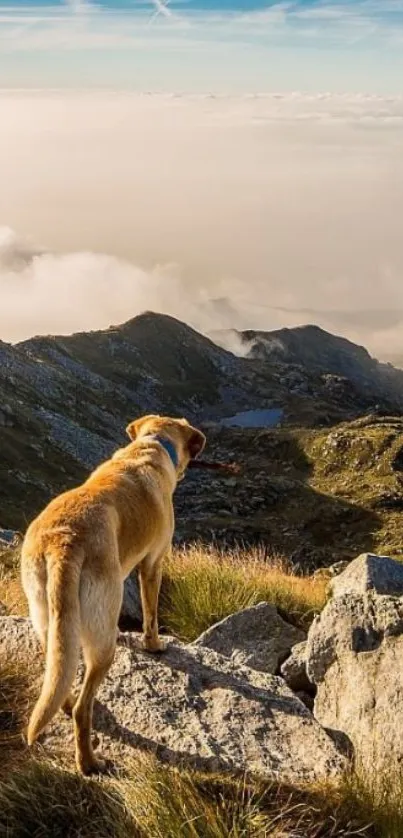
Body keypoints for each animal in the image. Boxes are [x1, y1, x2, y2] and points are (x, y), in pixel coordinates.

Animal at [20, 416, 207, 776]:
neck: (150, 445)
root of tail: (64, 542)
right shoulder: (152, 563)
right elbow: (151, 613)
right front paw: (154, 645)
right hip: (103, 643)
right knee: (84, 708)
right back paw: (89, 762)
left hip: (47, 616)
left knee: (59, 674)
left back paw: (63, 707)